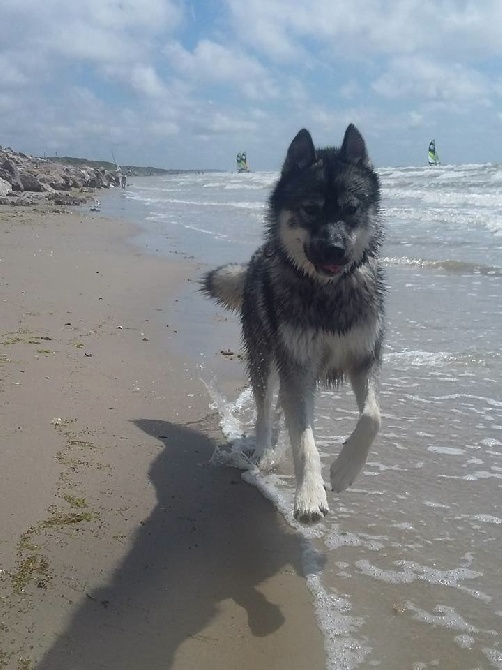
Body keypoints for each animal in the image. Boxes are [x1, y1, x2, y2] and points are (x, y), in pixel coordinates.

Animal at [202, 126, 386, 524]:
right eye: (310, 210)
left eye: (351, 209)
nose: (335, 249)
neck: (328, 293)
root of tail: (257, 257)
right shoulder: (298, 368)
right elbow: (305, 441)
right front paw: (310, 495)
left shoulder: (363, 359)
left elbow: (372, 416)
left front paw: (344, 471)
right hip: (265, 358)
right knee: (264, 409)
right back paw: (261, 452)